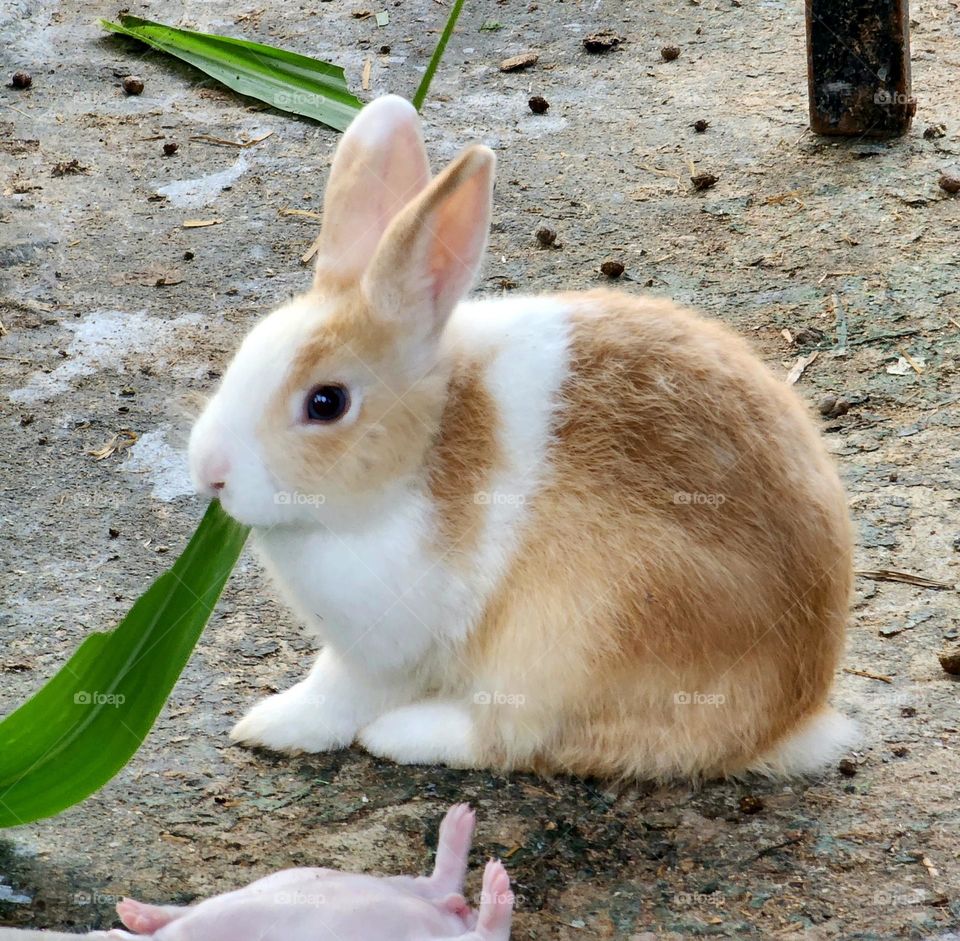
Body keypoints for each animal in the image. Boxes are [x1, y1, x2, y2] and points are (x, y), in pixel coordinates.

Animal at [188, 94, 855, 780]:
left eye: (326, 403)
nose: (211, 472)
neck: (422, 454)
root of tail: (793, 715)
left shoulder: (384, 651)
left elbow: (337, 695)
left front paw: (271, 726)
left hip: (577, 638)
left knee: (520, 740)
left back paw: (403, 735)